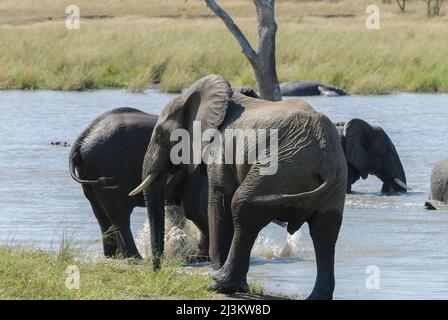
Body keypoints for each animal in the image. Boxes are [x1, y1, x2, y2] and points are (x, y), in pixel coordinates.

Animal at [69, 107, 209, 260]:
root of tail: (80, 141)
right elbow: (195, 207)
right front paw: (200, 256)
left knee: (101, 214)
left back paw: (112, 256)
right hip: (110, 166)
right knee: (120, 215)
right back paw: (134, 257)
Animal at [130, 75, 346, 300]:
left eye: (161, 135)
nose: (157, 270)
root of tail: (325, 153)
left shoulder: (220, 149)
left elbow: (219, 201)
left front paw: (222, 283)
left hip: (277, 169)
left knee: (242, 207)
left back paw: (219, 284)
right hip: (334, 181)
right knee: (325, 230)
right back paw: (315, 297)